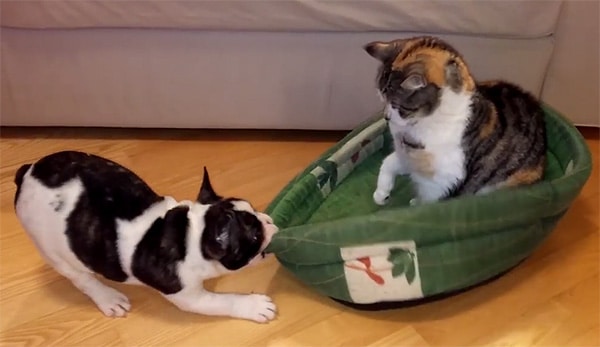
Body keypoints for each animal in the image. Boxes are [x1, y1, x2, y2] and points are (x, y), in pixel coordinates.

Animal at [12, 151, 278, 324]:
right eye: (255, 236)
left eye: (254, 208)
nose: (269, 221)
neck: (191, 234)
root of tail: (27, 175)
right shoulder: (189, 296)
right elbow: (224, 302)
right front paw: (254, 306)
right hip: (52, 249)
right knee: (80, 278)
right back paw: (108, 298)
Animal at [364, 36, 548, 204]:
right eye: (382, 98)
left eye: (397, 105)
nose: (386, 117)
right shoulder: (407, 154)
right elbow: (388, 162)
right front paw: (381, 194)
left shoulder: (443, 180)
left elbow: (427, 204)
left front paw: (415, 203)